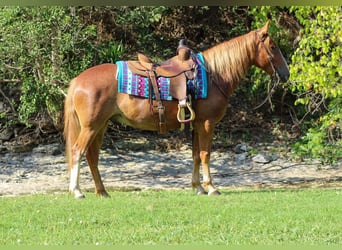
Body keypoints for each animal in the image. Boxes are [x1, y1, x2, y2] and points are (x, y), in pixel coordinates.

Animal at [63, 20, 288, 198]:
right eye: (273, 46)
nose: (285, 73)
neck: (214, 75)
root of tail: (77, 80)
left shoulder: (197, 123)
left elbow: (196, 154)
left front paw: (198, 187)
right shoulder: (207, 123)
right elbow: (206, 154)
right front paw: (211, 187)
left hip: (100, 126)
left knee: (92, 156)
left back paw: (102, 192)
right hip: (91, 127)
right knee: (77, 151)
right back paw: (77, 191)